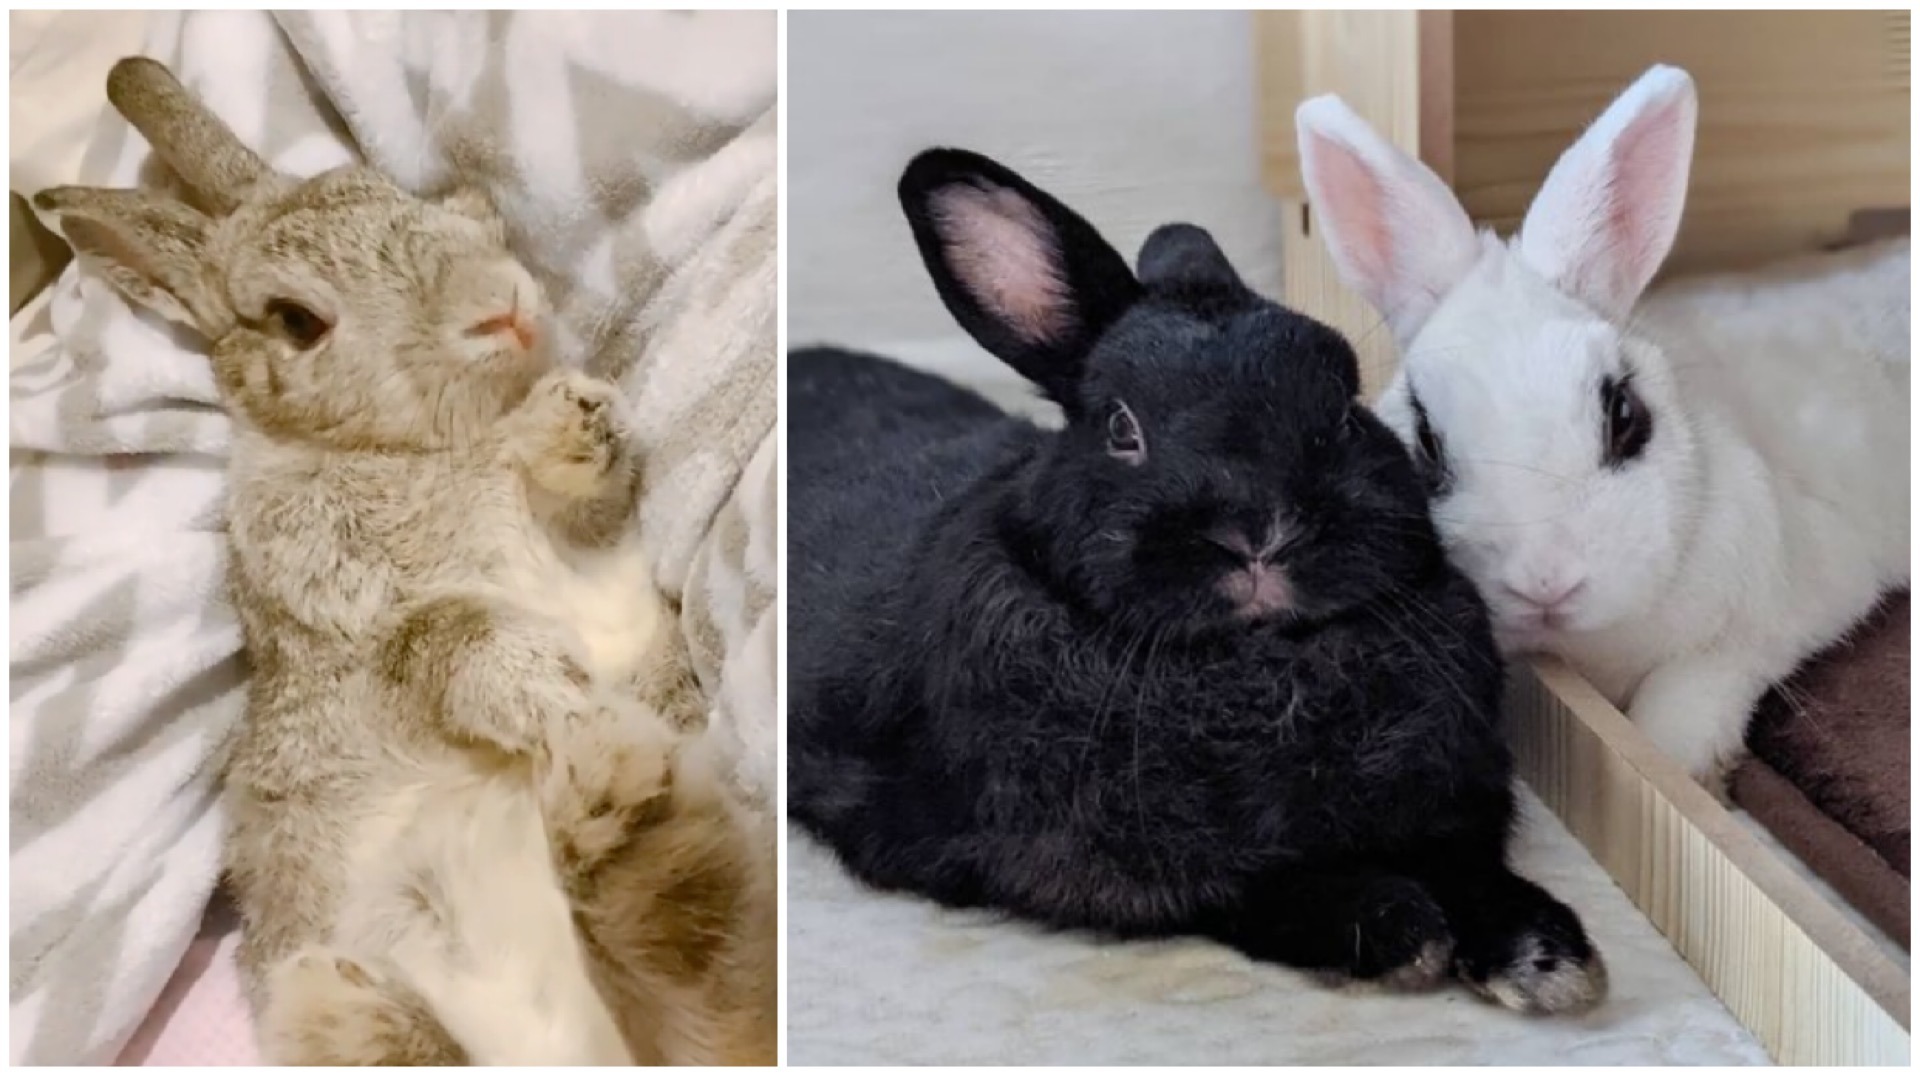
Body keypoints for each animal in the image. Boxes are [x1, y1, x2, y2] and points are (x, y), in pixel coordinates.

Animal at [33, 58, 774, 1065]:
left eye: (406, 198)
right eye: (296, 320)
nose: (500, 305)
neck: (409, 449)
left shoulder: (593, 535)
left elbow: (586, 489)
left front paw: (569, 416)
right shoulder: (343, 650)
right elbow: (436, 636)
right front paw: (548, 683)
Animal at [787, 148, 1607, 1015]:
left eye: (1343, 405)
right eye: (1122, 429)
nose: (1261, 530)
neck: (1263, 661)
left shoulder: (1456, 815)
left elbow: (1472, 868)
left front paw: (1548, 954)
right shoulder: (1076, 860)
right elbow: (1243, 890)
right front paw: (1394, 929)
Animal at [1294, 65, 1910, 790]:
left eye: (1624, 415)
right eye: (1423, 442)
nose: (1545, 583)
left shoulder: (1775, 615)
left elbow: (1683, 704)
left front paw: (1693, 767)